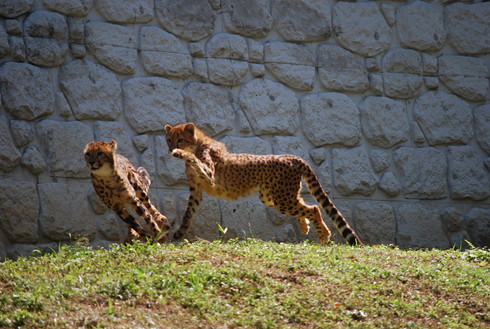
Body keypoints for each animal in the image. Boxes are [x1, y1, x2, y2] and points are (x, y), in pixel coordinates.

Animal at [165, 121, 364, 245]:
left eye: (180, 139)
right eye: (168, 139)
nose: (170, 148)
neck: (197, 144)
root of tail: (292, 156)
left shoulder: (210, 176)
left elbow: (193, 159)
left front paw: (180, 153)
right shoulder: (196, 190)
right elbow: (189, 212)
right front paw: (180, 232)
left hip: (282, 199)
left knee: (314, 208)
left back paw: (323, 234)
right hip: (273, 197)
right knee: (305, 205)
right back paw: (304, 225)